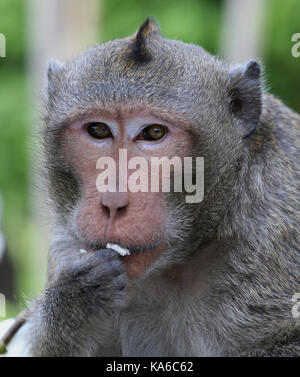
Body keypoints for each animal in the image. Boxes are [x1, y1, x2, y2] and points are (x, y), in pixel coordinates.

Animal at [13, 18, 300, 356]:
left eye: (153, 133)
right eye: (98, 130)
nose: (112, 202)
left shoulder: (275, 229)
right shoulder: (68, 246)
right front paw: (73, 303)